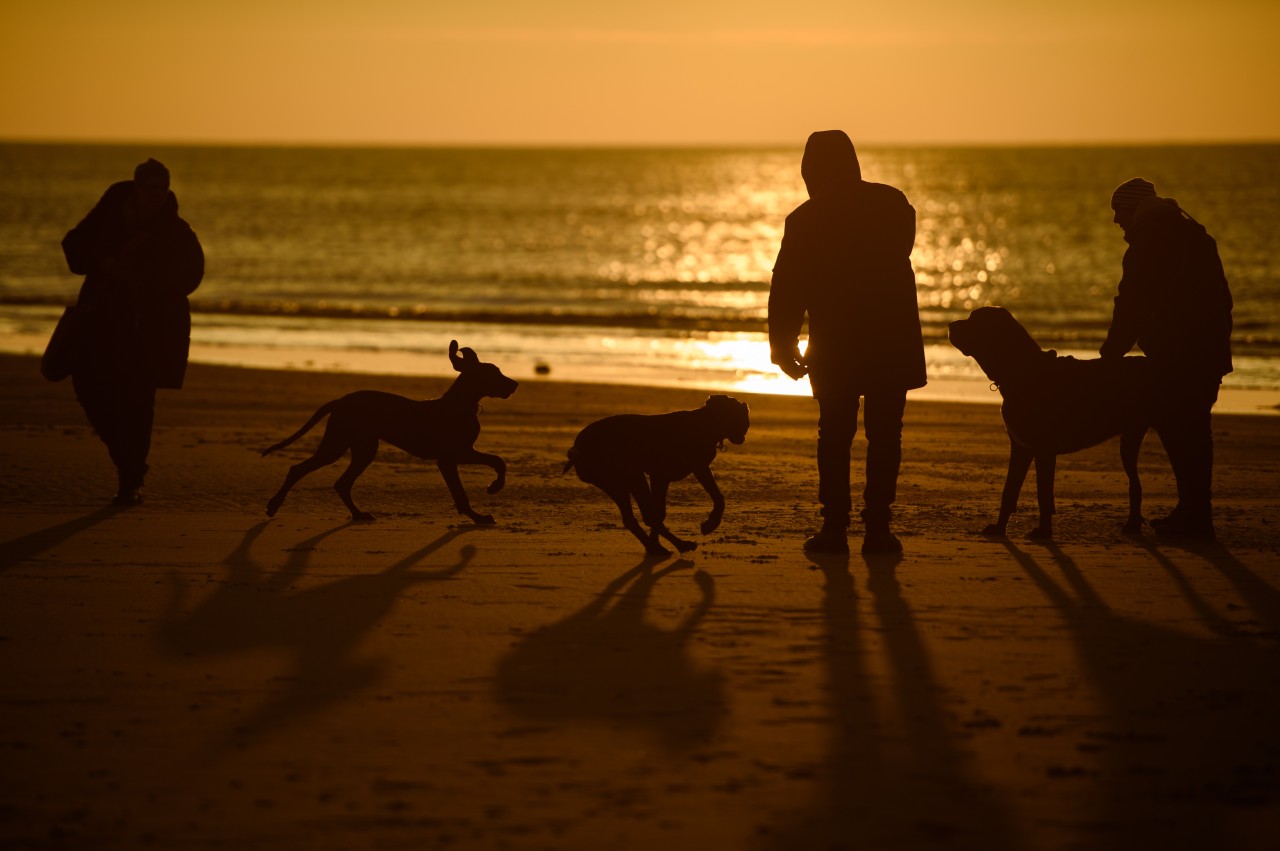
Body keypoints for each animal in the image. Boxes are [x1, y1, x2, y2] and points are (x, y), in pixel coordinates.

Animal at [262, 337, 517, 524]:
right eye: (493, 373)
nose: (515, 384)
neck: (459, 405)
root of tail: (341, 400)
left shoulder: (463, 452)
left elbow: (498, 461)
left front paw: (494, 487)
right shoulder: (449, 458)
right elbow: (462, 493)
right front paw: (480, 515)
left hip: (363, 448)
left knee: (341, 483)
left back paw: (359, 514)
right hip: (337, 445)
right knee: (298, 469)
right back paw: (274, 505)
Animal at [563, 394, 747, 555]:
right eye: (741, 417)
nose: (743, 438)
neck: (706, 423)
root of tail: (577, 450)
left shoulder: (663, 478)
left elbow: (660, 512)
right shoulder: (692, 469)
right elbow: (718, 498)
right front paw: (711, 524)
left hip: (618, 485)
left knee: (633, 518)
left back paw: (655, 547)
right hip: (631, 476)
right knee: (647, 516)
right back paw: (678, 545)